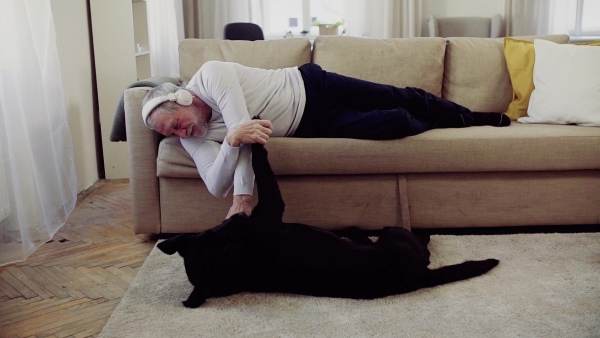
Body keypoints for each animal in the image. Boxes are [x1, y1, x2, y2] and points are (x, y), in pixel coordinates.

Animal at [157, 144, 500, 308]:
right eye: (224, 244)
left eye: (218, 235)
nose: (240, 216)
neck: (240, 263)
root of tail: (418, 277)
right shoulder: (271, 207)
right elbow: (262, 167)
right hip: (393, 234)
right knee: (420, 242)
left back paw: (352, 231)